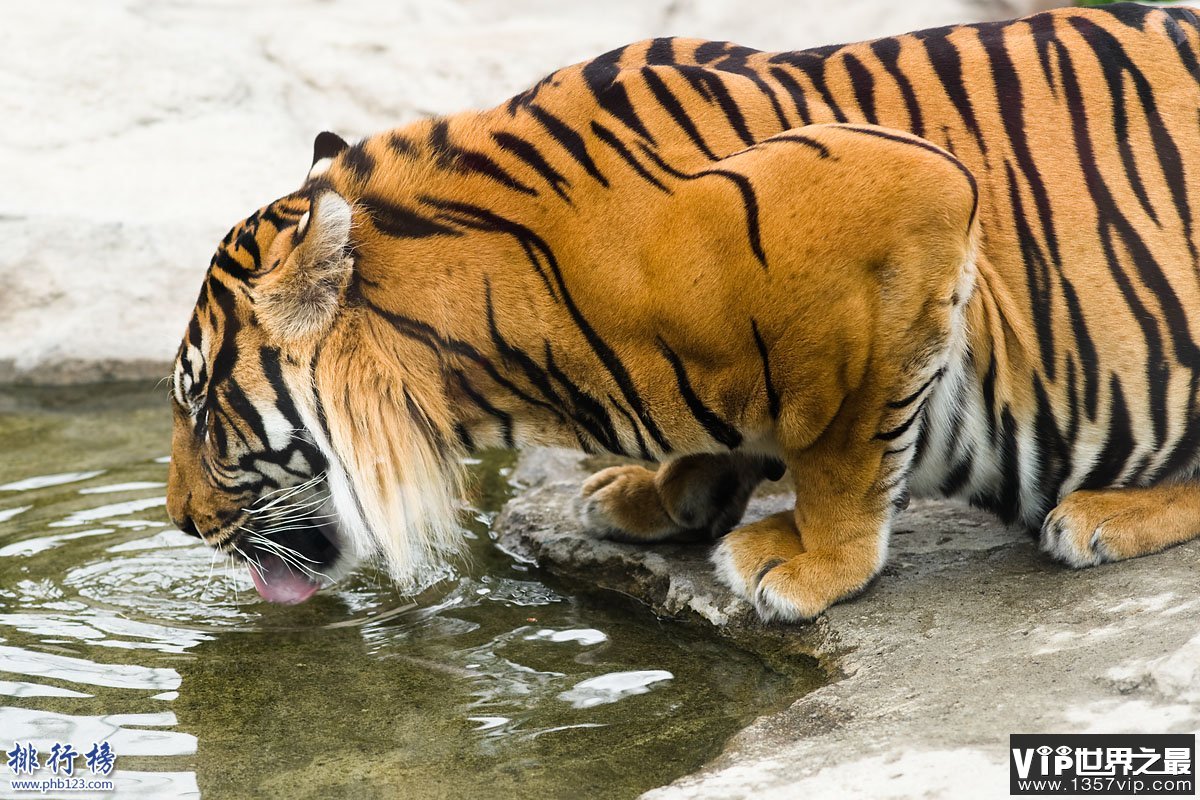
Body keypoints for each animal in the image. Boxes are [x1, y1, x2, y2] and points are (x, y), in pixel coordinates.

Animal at [166, 3, 1200, 623]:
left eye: (201, 406)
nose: (175, 522)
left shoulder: (912, 194)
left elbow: (847, 446)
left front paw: (812, 562)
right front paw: (658, 490)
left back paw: (1099, 516)